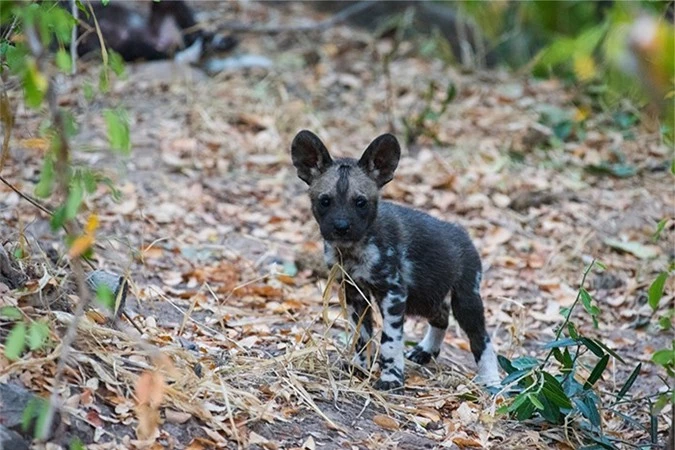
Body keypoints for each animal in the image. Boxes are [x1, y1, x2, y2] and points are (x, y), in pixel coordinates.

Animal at [292, 129, 502, 390]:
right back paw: (425, 351)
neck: (353, 250)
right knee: (442, 317)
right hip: (427, 297)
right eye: (325, 201)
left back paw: (491, 380)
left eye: (360, 202)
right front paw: (359, 368)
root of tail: (462, 233)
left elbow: (390, 342)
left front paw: (390, 378)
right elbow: (361, 336)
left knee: (481, 338)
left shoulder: (393, 293)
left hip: (465, 300)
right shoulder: (354, 292)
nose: (341, 227)